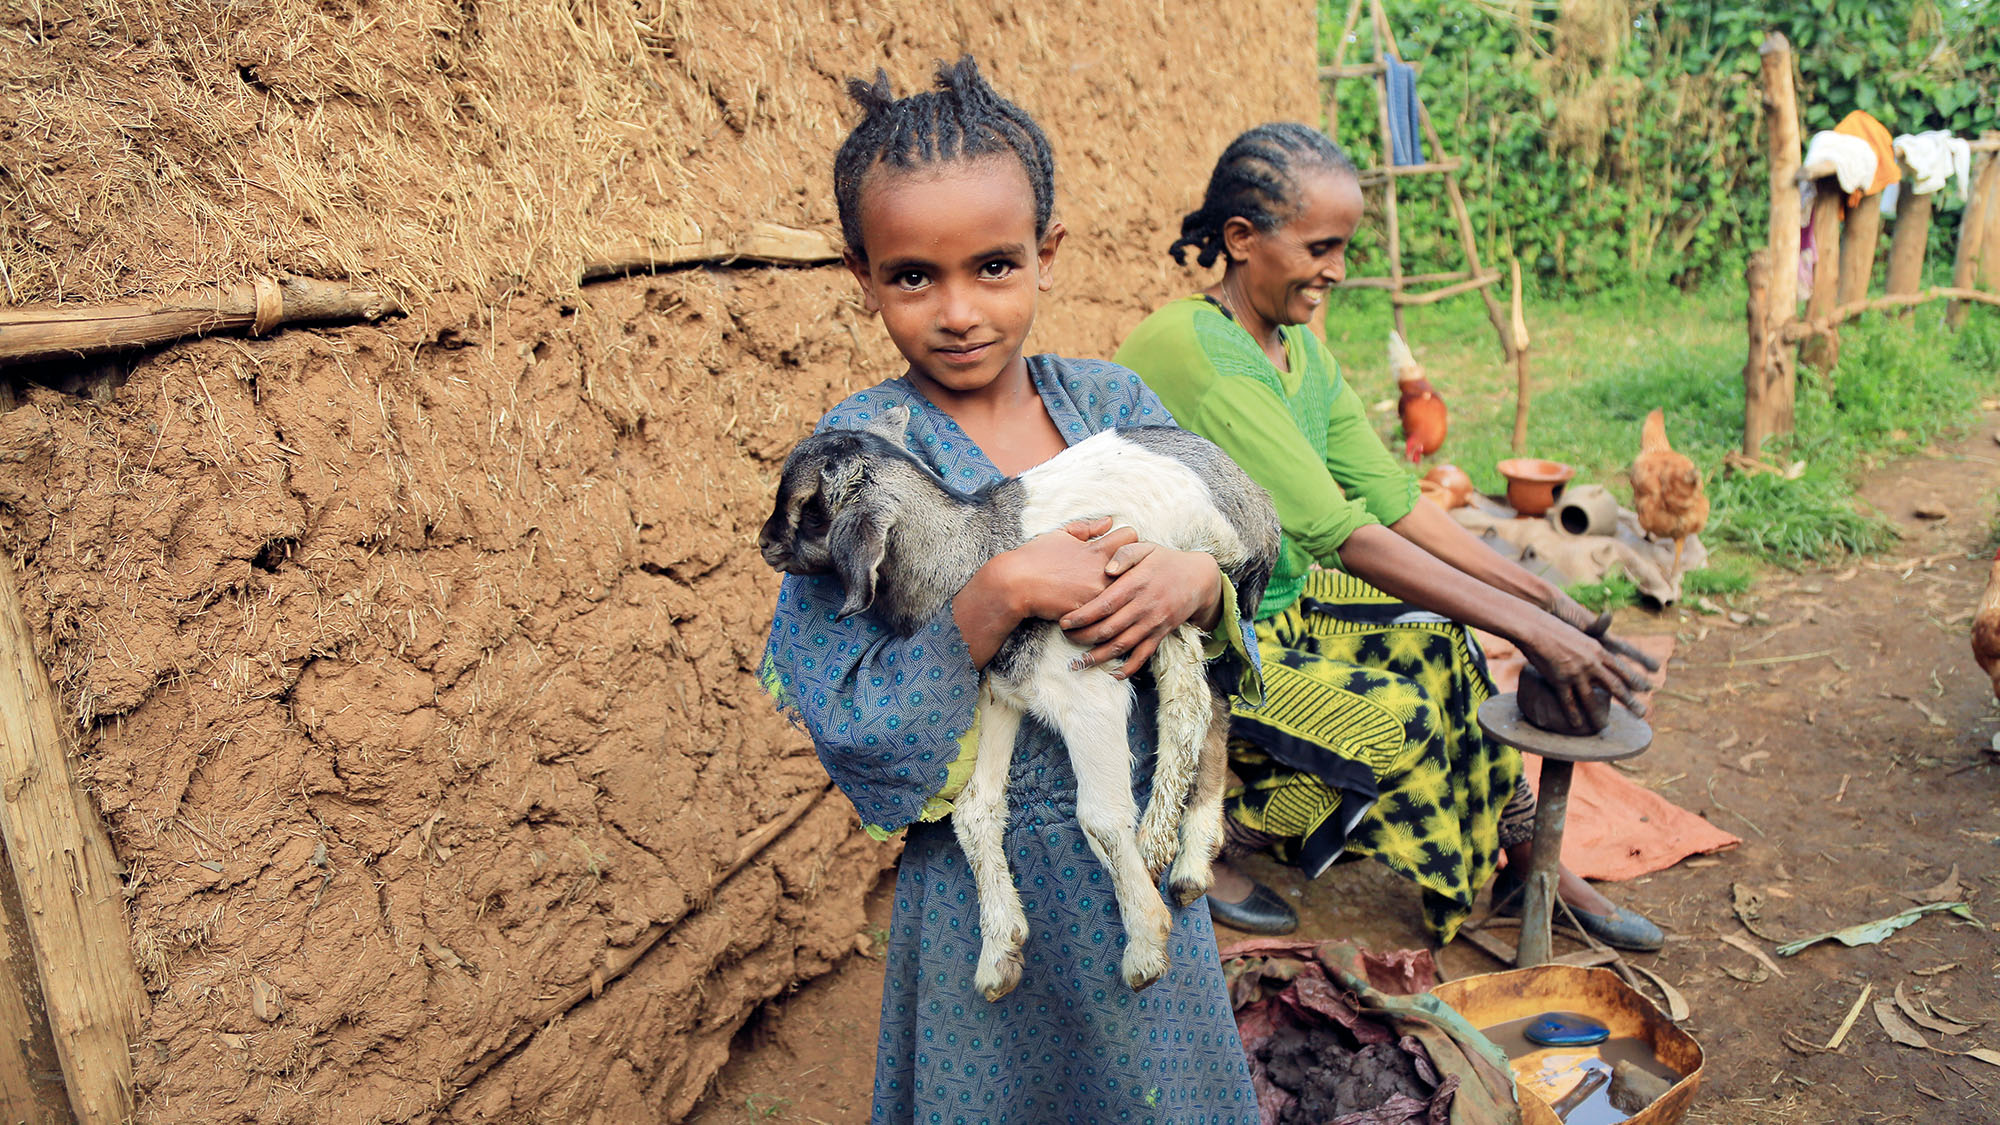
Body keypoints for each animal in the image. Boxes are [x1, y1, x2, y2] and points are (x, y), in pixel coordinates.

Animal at [756, 404, 1272, 996]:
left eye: (809, 509)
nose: (764, 543)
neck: (970, 552)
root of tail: (1259, 501)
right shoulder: (993, 700)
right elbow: (975, 811)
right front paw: (1000, 951)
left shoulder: (1086, 689)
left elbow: (1098, 815)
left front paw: (1145, 947)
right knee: (1213, 703)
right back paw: (1190, 864)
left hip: (1172, 578)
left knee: (1190, 701)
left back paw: (1157, 847)